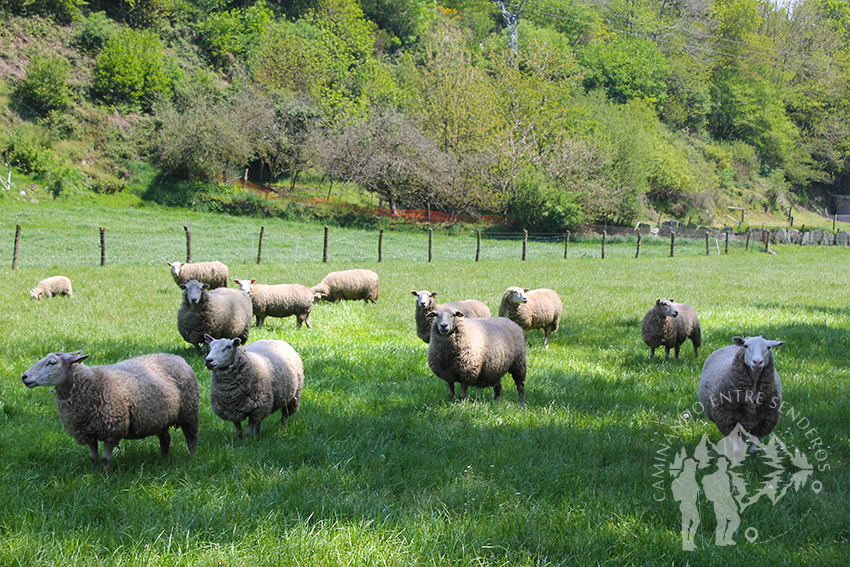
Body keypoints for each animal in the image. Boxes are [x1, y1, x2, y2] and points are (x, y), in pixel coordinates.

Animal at [21, 352, 199, 472]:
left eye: (51, 362)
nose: (24, 376)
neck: (92, 383)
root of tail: (176, 357)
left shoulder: (112, 429)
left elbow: (105, 458)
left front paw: (105, 477)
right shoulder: (87, 432)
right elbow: (93, 457)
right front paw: (93, 474)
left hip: (188, 411)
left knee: (190, 437)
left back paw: (192, 458)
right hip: (160, 417)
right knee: (165, 438)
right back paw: (163, 459)